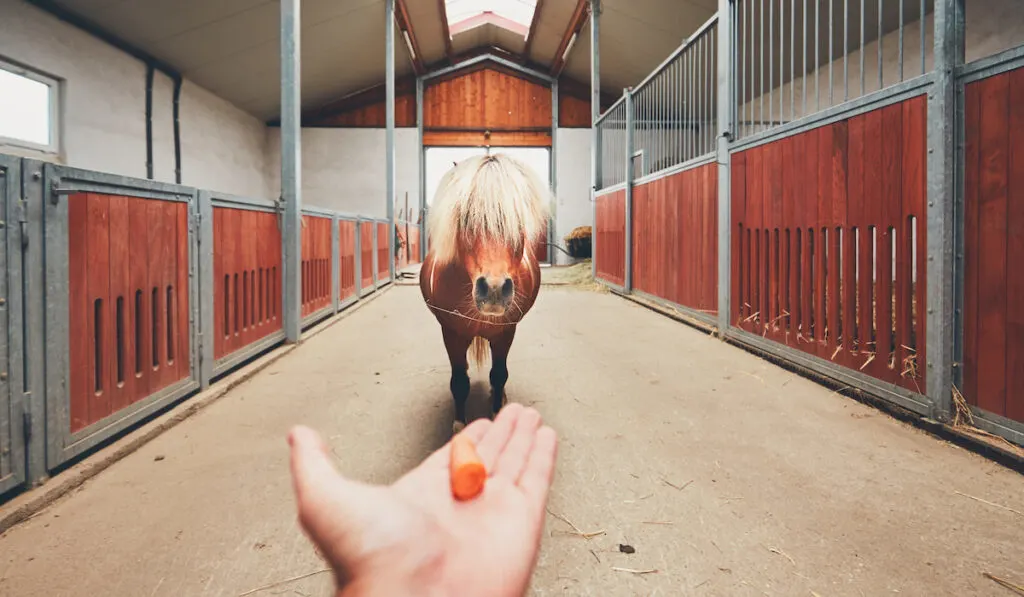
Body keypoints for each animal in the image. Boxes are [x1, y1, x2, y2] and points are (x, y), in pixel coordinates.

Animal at [419, 154, 552, 432]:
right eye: (466, 217)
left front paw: (498, 411)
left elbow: (499, 375)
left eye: (517, 221)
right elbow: (459, 381)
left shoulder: (506, 332)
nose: (494, 289)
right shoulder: (452, 333)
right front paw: (459, 425)